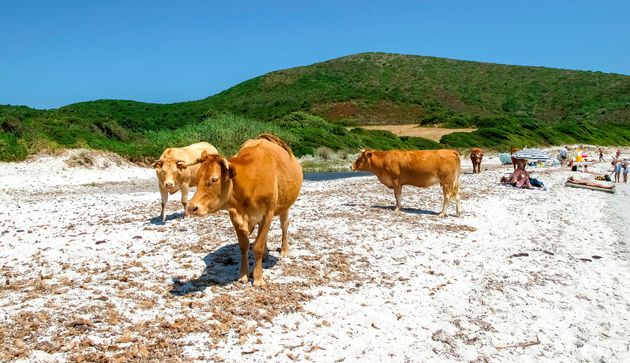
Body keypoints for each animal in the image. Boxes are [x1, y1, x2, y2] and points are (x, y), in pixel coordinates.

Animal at [186, 134, 302, 288]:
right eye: (197, 178)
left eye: (214, 179)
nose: (191, 207)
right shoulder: (234, 215)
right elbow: (244, 245)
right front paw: (243, 275)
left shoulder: (268, 212)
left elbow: (258, 246)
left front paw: (258, 278)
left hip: (285, 207)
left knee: (284, 225)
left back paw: (284, 249)